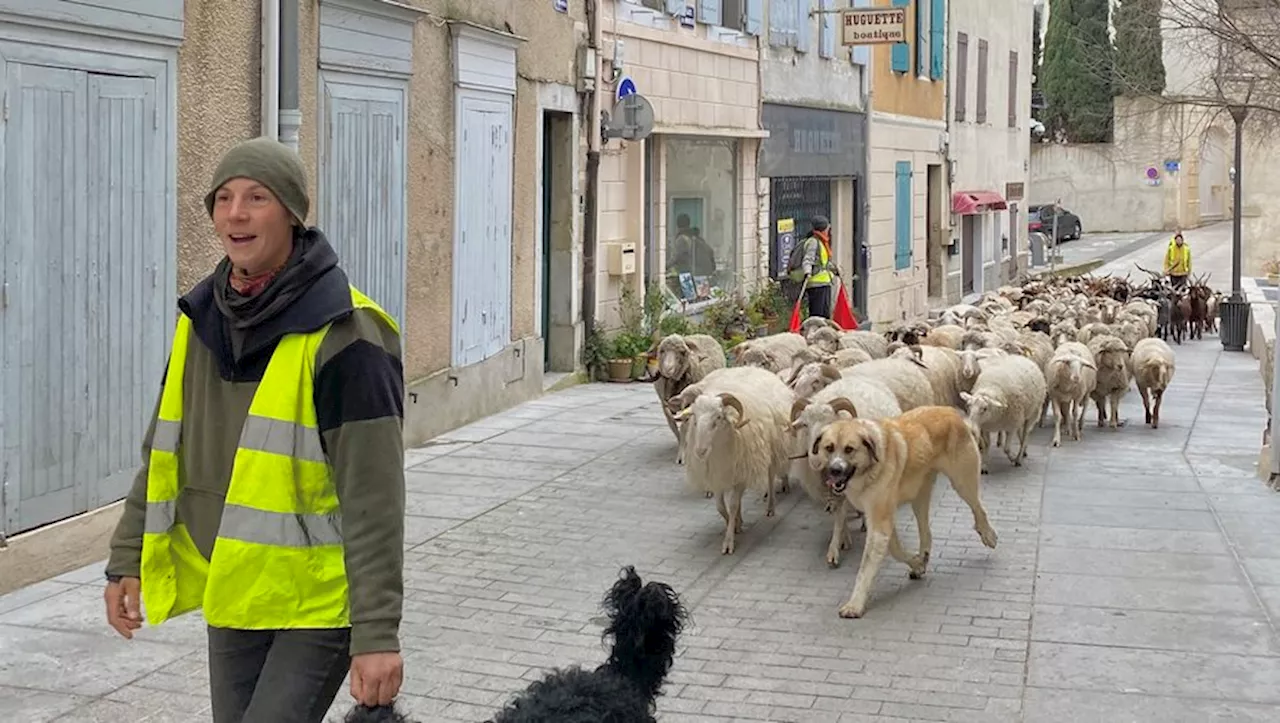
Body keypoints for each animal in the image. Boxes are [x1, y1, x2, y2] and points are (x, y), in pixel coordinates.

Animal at [675, 365, 793, 552]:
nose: (700, 451)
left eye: (718, 417)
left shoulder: (740, 474)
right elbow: (721, 507)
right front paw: (737, 523)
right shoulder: (718, 475)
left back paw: (770, 507)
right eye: (694, 418)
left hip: (773, 451)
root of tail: (757, 368)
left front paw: (729, 541)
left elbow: (732, 505)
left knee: (770, 477)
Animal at [808, 404, 998, 616]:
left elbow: (866, 567)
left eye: (849, 449)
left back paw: (988, 535)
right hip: (919, 496)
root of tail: (950, 411)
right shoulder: (881, 520)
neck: (868, 470)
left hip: (962, 482)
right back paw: (923, 557)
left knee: (979, 509)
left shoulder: (880, 522)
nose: (835, 470)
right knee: (926, 531)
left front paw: (855, 604)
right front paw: (916, 563)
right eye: (829, 448)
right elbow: (895, 549)